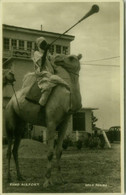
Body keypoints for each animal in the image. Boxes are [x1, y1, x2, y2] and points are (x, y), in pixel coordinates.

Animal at [4, 53, 81, 187]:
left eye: (72, 58)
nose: (58, 58)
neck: (67, 102)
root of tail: (11, 100)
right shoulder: (51, 123)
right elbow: (49, 153)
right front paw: (47, 181)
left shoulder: (64, 124)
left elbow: (59, 151)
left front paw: (61, 179)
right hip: (10, 120)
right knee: (8, 149)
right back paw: (8, 178)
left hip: (21, 126)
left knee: (15, 149)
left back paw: (20, 176)